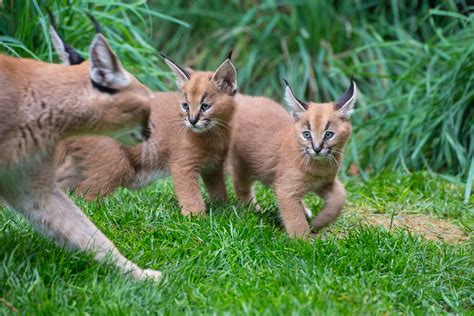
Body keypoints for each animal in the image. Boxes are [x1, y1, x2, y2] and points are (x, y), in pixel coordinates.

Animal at [56, 52, 239, 215]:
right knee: (84, 195)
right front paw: (196, 218)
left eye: (205, 106)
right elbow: (190, 194)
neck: (214, 133)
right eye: (186, 105)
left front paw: (224, 208)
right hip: (115, 163)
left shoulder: (214, 166)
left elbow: (219, 190)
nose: (192, 120)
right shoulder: (183, 165)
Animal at [228, 78, 358, 237]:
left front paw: (319, 222)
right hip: (240, 165)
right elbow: (296, 221)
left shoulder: (323, 182)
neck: (319, 165)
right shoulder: (287, 190)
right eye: (307, 134)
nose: (317, 149)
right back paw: (253, 211)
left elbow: (340, 196)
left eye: (329, 134)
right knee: (242, 188)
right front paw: (302, 241)